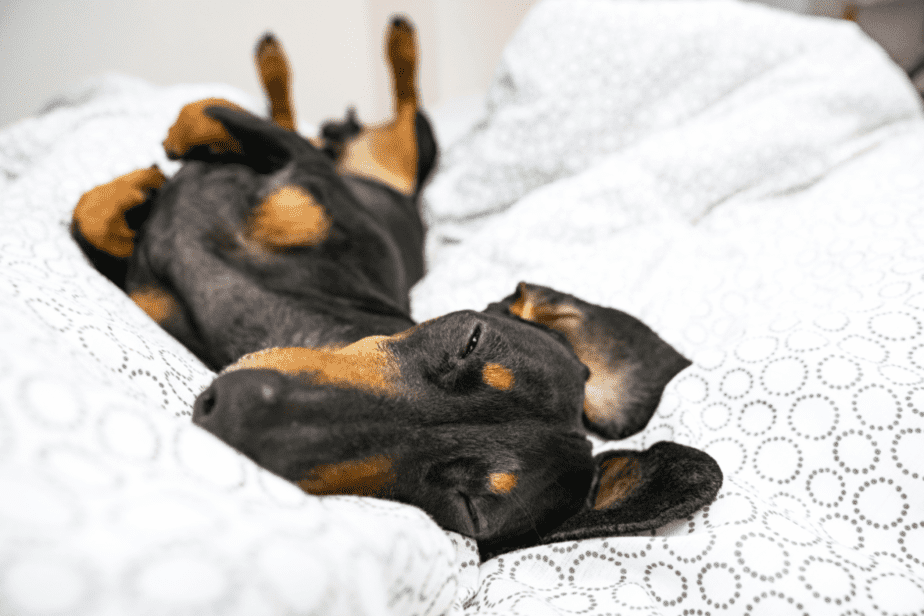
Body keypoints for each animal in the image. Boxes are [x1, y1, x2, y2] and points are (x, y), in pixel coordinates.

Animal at [72, 18, 720, 560]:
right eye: (470, 339)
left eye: (466, 508)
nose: (229, 411)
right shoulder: (307, 172)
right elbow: (196, 115)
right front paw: (143, 184)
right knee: (335, 117)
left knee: (402, 111)